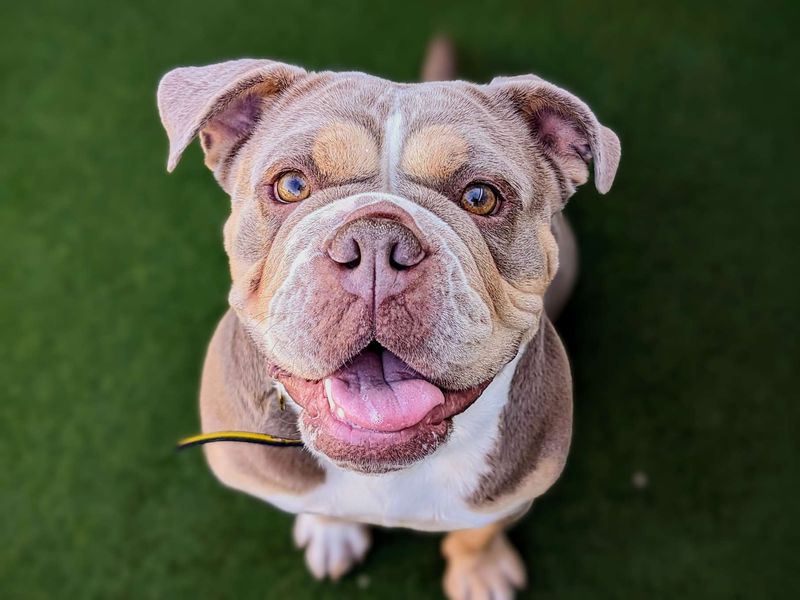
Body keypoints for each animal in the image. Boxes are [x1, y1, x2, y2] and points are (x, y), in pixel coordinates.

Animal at [156, 38, 620, 600]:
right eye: (291, 185)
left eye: (481, 197)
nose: (377, 242)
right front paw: (330, 532)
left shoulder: (514, 489)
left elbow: (479, 532)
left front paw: (480, 570)